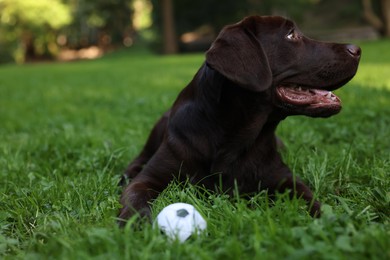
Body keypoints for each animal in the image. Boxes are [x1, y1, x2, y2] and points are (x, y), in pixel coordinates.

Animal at [117, 15, 362, 224]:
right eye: (291, 35)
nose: (357, 49)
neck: (236, 136)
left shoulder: (283, 178)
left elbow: (311, 198)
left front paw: (334, 220)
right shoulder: (152, 176)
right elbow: (135, 196)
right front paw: (136, 226)